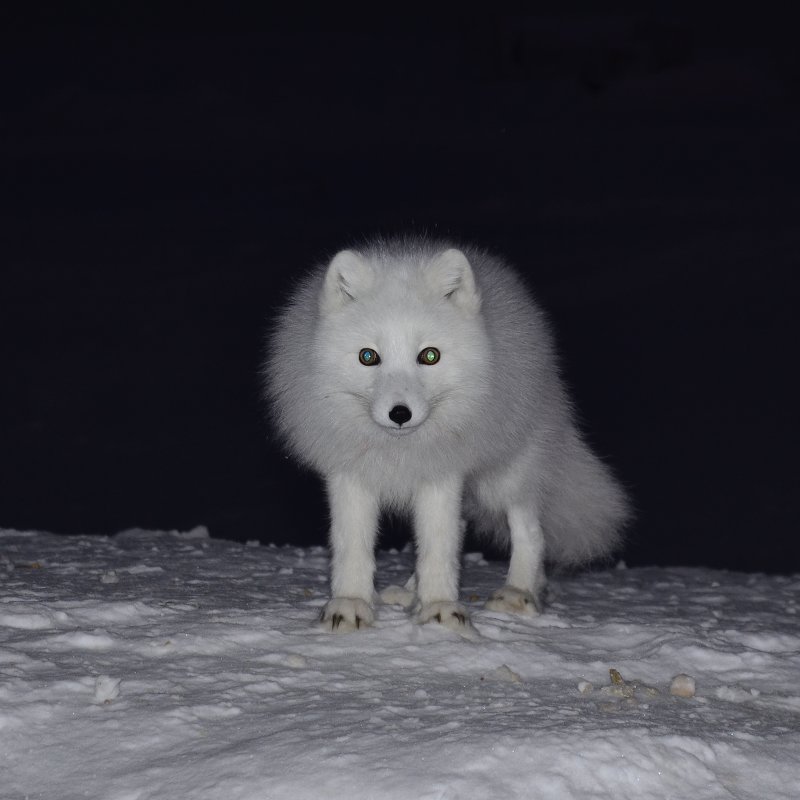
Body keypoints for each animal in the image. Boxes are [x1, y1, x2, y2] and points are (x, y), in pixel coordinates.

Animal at [266, 238, 628, 632]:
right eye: (368, 356)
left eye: (430, 356)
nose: (400, 414)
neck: (399, 450)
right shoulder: (350, 475)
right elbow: (353, 548)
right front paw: (350, 604)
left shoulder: (443, 475)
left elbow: (439, 548)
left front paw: (440, 609)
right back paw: (412, 591)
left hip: (507, 475)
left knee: (530, 532)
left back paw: (519, 592)